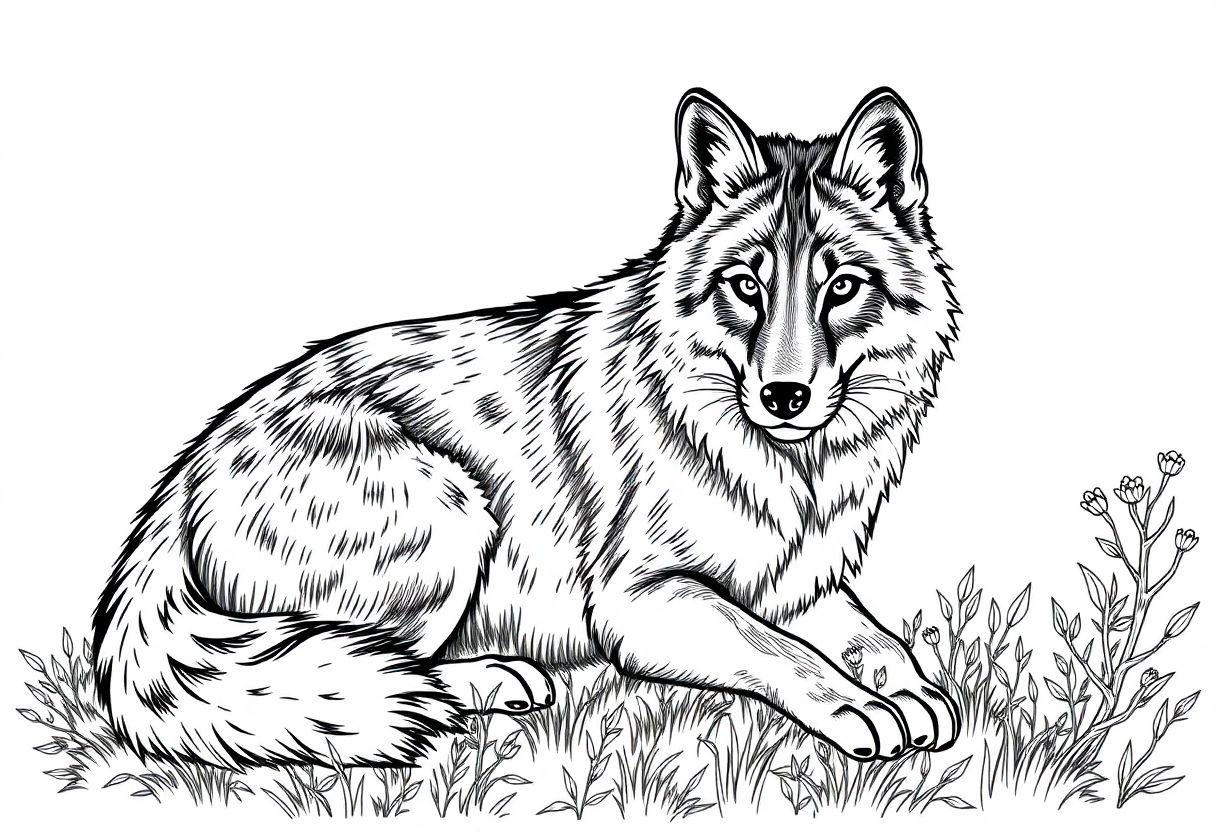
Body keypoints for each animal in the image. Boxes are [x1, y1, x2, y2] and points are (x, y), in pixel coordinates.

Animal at [93, 87, 960, 769]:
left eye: (842, 287)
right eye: (746, 286)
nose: (784, 396)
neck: (789, 473)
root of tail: (186, 470)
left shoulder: (792, 583)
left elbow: (871, 638)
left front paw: (913, 689)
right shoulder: (638, 599)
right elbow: (776, 649)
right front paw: (856, 705)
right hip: (452, 508)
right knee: (376, 664)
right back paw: (486, 681)